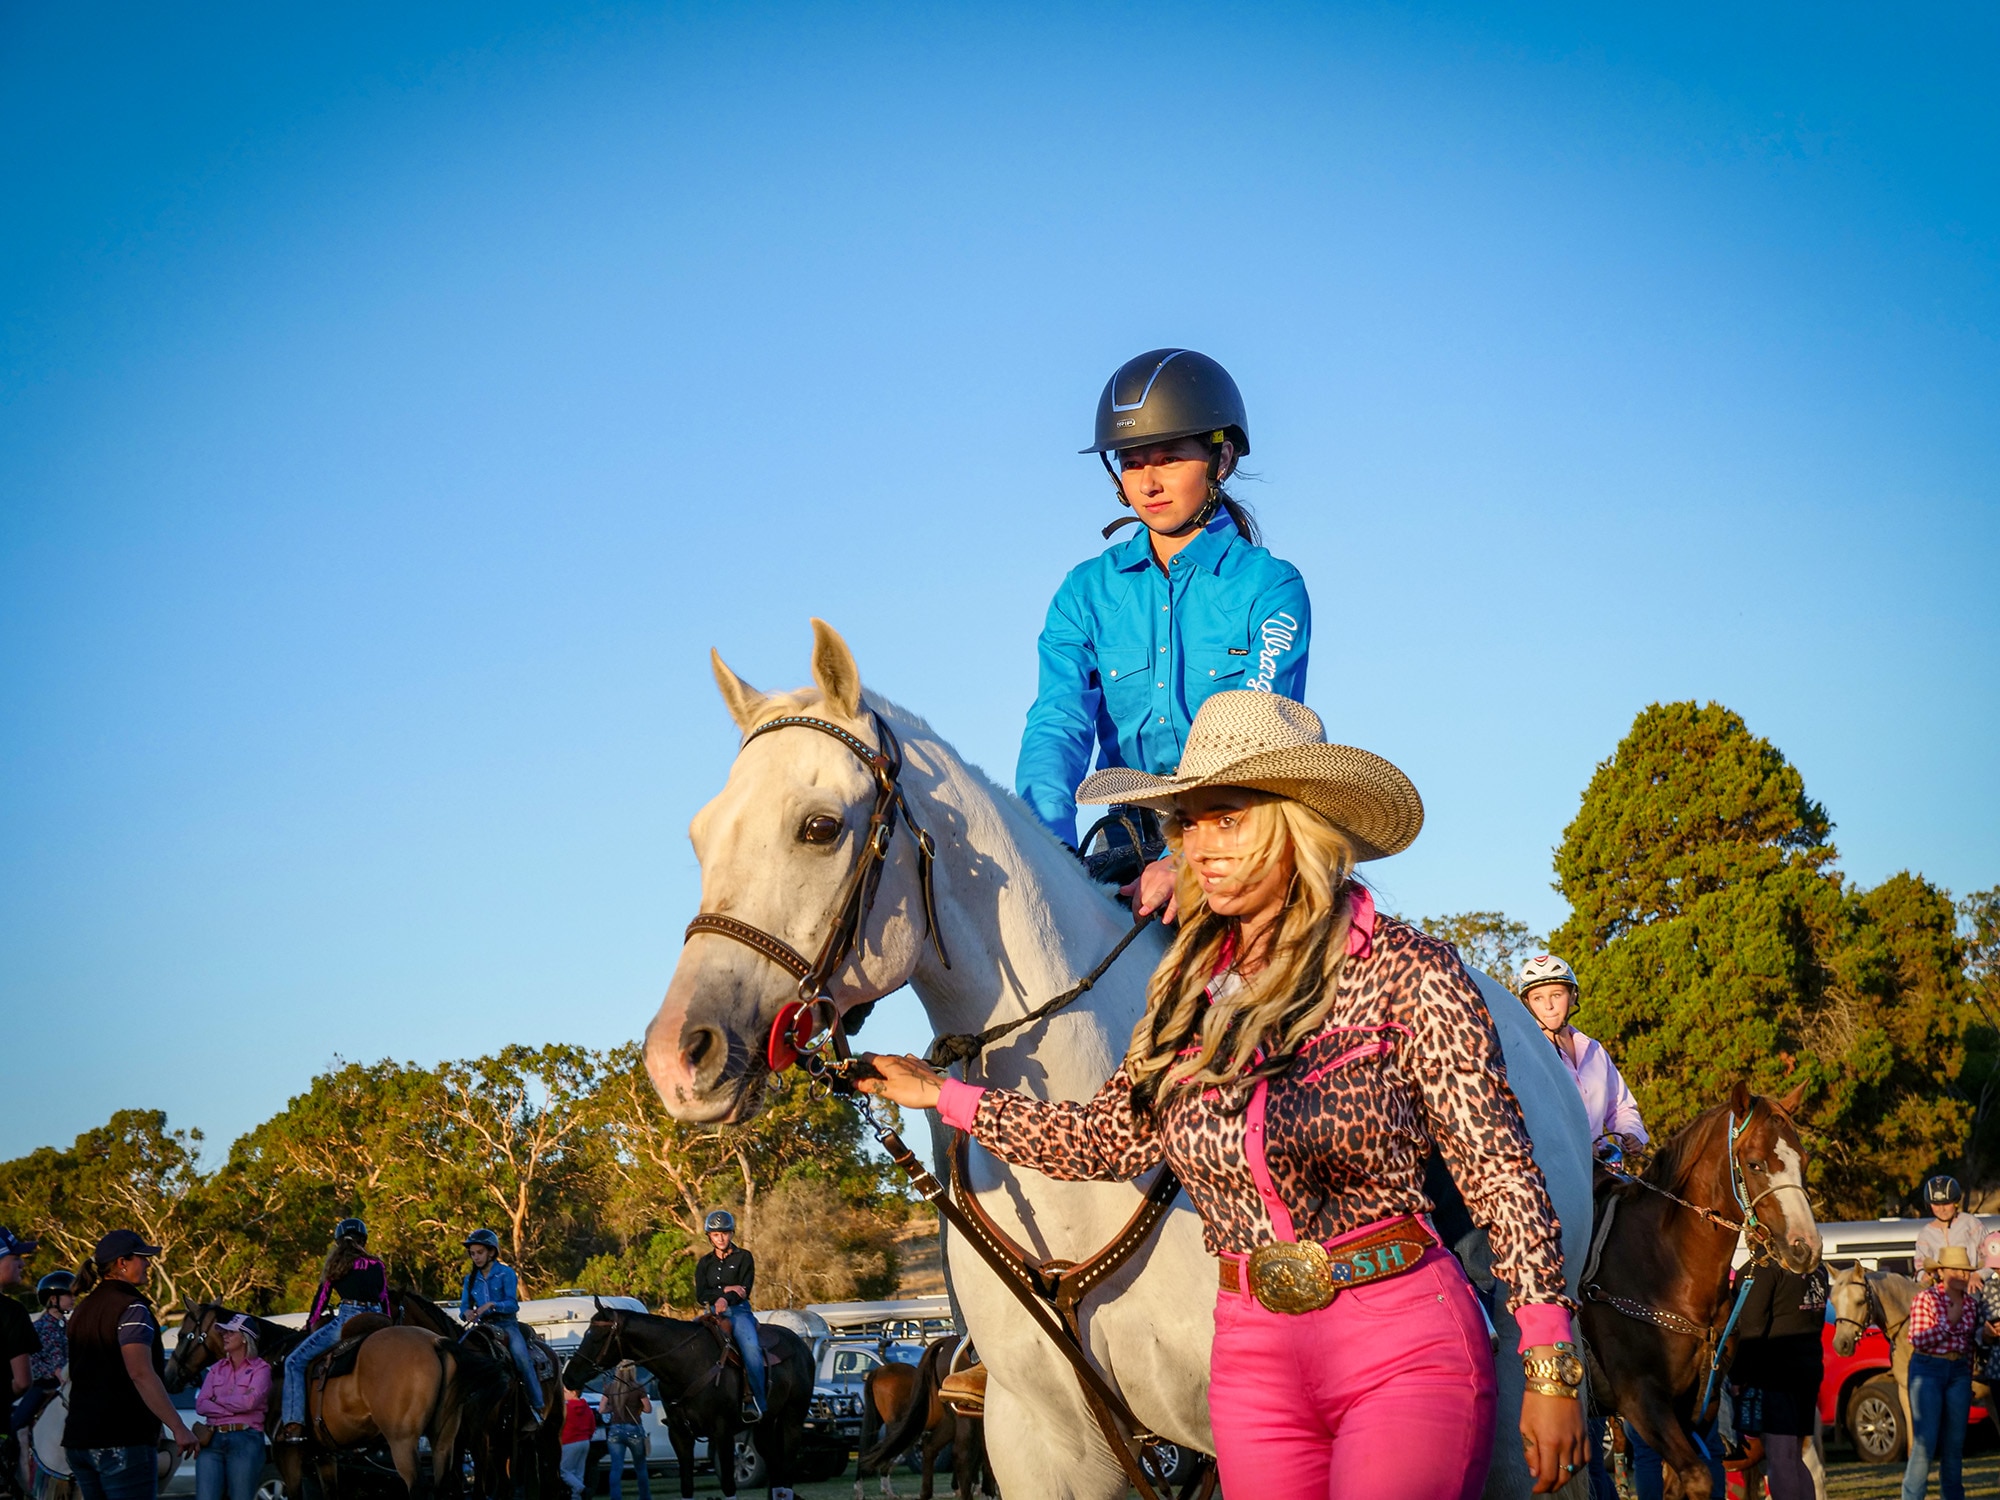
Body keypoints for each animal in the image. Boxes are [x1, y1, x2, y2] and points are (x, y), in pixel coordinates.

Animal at [166, 1301, 506, 1497]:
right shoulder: (324, 1456)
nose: (169, 1376)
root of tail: (436, 1343)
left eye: (185, 1335)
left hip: (403, 1442)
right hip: (444, 1439)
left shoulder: (288, 1453)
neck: (275, 1359)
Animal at [561, 1302, 813, 1500]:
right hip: (764, 1427)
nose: (568, 1376)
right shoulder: (680, 1434)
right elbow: (686, 1486)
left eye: (596, 1336)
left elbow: (728, 1484)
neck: (687, 1365)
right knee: (776, 1470)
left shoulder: (722, 1433)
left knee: (787, 1470)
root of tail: (800, 1345)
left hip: (792, 1420)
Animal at [1580, 1082, 1821, 1500]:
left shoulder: (1696, 1405)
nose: (1804, 1246)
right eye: (1754, 1164)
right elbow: (1696, 1477)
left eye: (1803, 1161)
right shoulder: (1640, 1397)